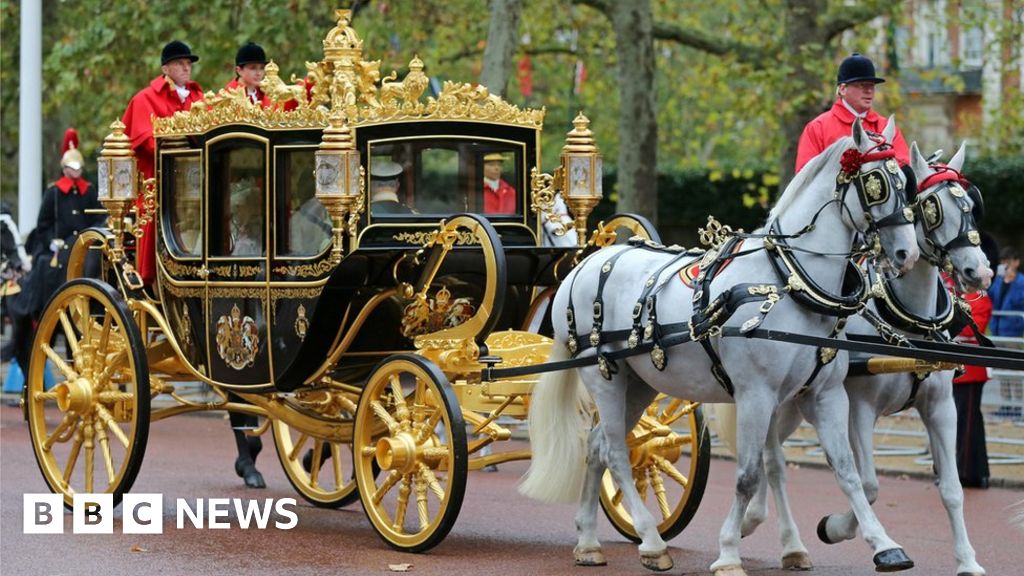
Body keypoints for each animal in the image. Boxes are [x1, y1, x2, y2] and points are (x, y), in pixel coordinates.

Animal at [520, 117, 921, 573]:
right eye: (876, 183)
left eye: (906, 183)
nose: (907, 254)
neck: (789, 281)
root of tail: (584, 264)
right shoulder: (755, 395)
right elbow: (747, 475)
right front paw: (729, 550)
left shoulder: (824, 395)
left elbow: (845, 470)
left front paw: (883, 544)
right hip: (604, 377)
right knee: (618, 454)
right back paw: (651, 541)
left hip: (638, 385)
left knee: (598, 446)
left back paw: (589, 541)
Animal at [733, 140, 995, 573]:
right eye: (931, 206)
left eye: (972, 204)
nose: (981, 272)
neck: (908, 323)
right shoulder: (859, 408)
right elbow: (869, 484)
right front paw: (836, 528)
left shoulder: (941, 406)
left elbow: (952, 489)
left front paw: (968, 561)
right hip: (773, 399)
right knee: (772, 461)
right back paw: (773, 534)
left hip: (791, 406)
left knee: (770, 458)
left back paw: (764, 528)